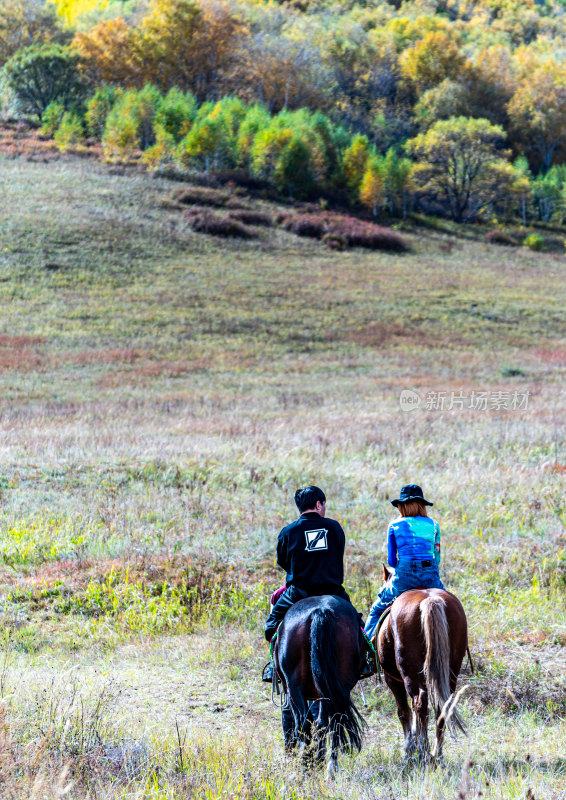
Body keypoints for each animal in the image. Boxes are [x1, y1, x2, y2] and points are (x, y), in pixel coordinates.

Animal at [276, 596, 368, 780]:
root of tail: (321, 611)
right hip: (335, 687)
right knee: (327, 722)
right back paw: (324, 766)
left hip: (295, 688)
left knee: (306, 724)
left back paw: (310, 765)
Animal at [378, 564, 470, 764]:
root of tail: (430, 600)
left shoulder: (392, 679)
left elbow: (403, 711)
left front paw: (408, 748)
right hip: (449, 672)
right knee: (441, 706)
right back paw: (437, 753)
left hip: (409, 675)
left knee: (419, 703)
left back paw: (423, 750)